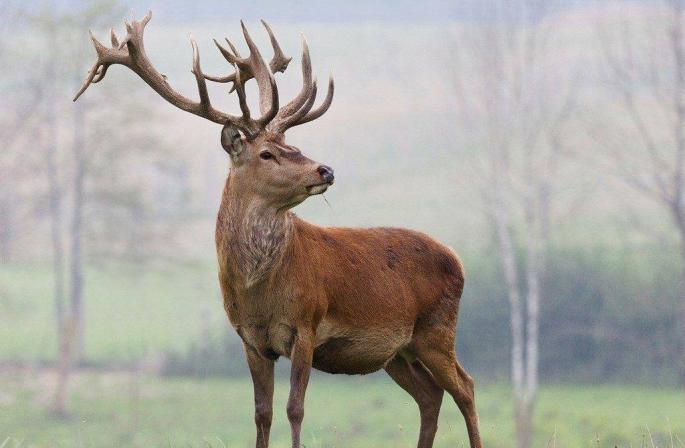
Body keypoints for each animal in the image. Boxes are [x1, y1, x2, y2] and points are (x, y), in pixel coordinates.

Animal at [73, 12, 480, 448]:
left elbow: (295, 408)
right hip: (396, 350)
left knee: (465, 387)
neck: (259, 290)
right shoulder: (250, 339)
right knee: (430, 394)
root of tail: (457, 260)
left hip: (437, 329)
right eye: (268, 153)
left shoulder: (307, 324)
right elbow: (262, 412)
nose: (326, 170)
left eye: (293, 146)